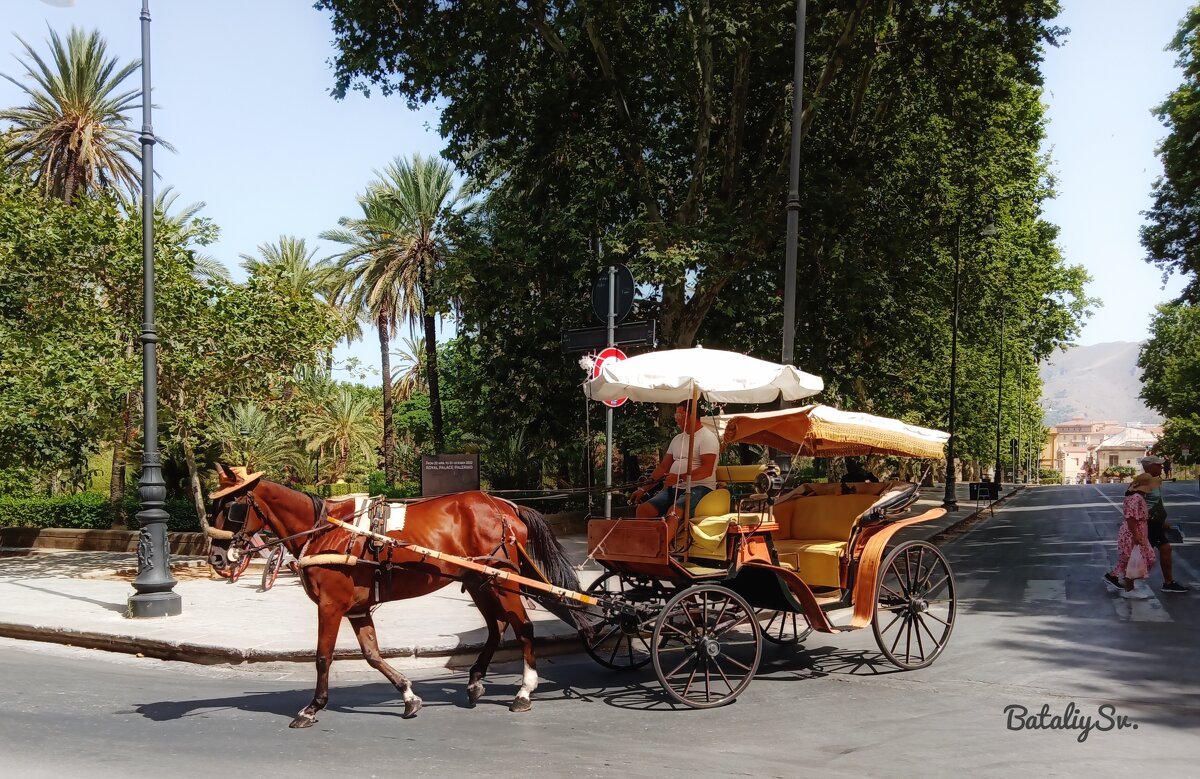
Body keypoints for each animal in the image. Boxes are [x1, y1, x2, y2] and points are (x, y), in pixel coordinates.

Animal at [208, 460, 583, 724]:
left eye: (232, 508)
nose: (215, 557)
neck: (325, 531)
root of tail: (505, 506)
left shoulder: (330, 605)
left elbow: (323, 657)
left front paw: (312, 707)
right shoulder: (357, 609)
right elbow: (373, 655)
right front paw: (407, 695)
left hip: (502, 581)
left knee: (523, 626)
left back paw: (525, 690)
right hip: (482, 582)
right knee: (497, 627)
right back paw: (476, 680)